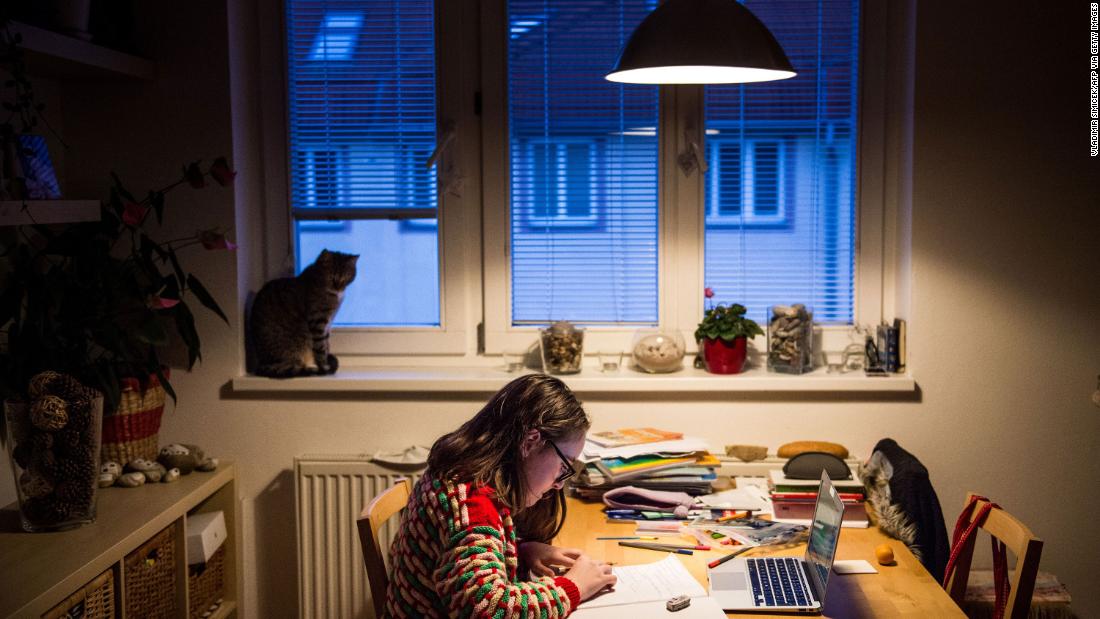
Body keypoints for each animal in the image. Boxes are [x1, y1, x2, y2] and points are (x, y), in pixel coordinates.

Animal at [248, 248, 356, 378]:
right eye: (331, 277)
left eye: (346, 277)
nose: (339, 287)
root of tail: (262, 364)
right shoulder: (318, 320)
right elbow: (321, 346)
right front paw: (324, 365)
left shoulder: (327, 324)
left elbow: (325, 344)